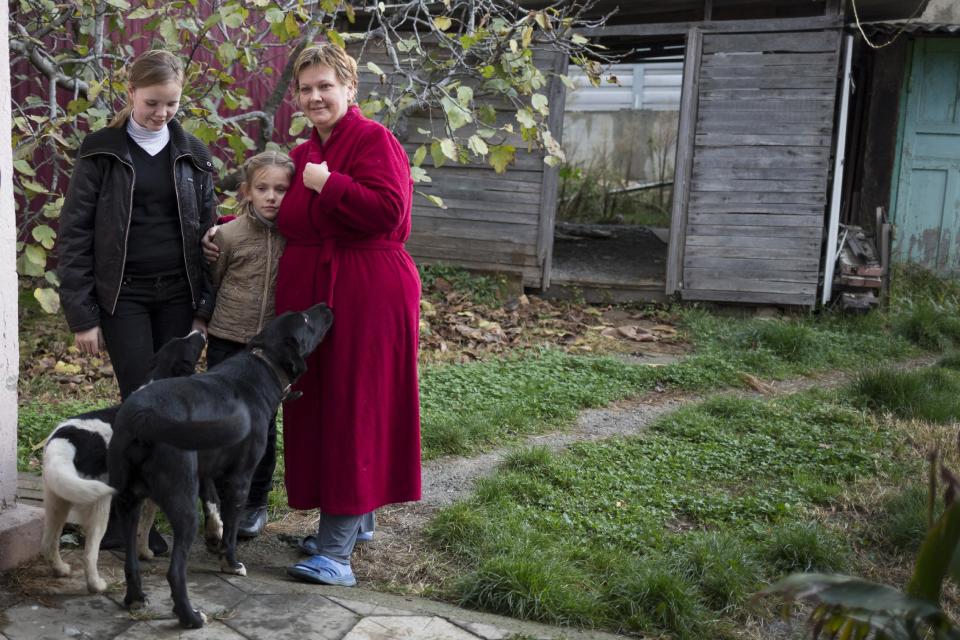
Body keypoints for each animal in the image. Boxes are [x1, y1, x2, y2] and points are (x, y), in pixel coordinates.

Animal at [107, 302, 334, 628]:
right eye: (305, 319)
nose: (326, 306)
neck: (261, 364)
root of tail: (142, 418)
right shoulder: (240, 478)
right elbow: (232, 525)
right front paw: (231, 562)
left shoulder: (206, 467)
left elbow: (213, 501)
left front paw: (214, 534)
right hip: (182, 506)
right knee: (175, 572)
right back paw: (190, 617)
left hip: (128, 502)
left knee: (131, 562)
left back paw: (136, 599)